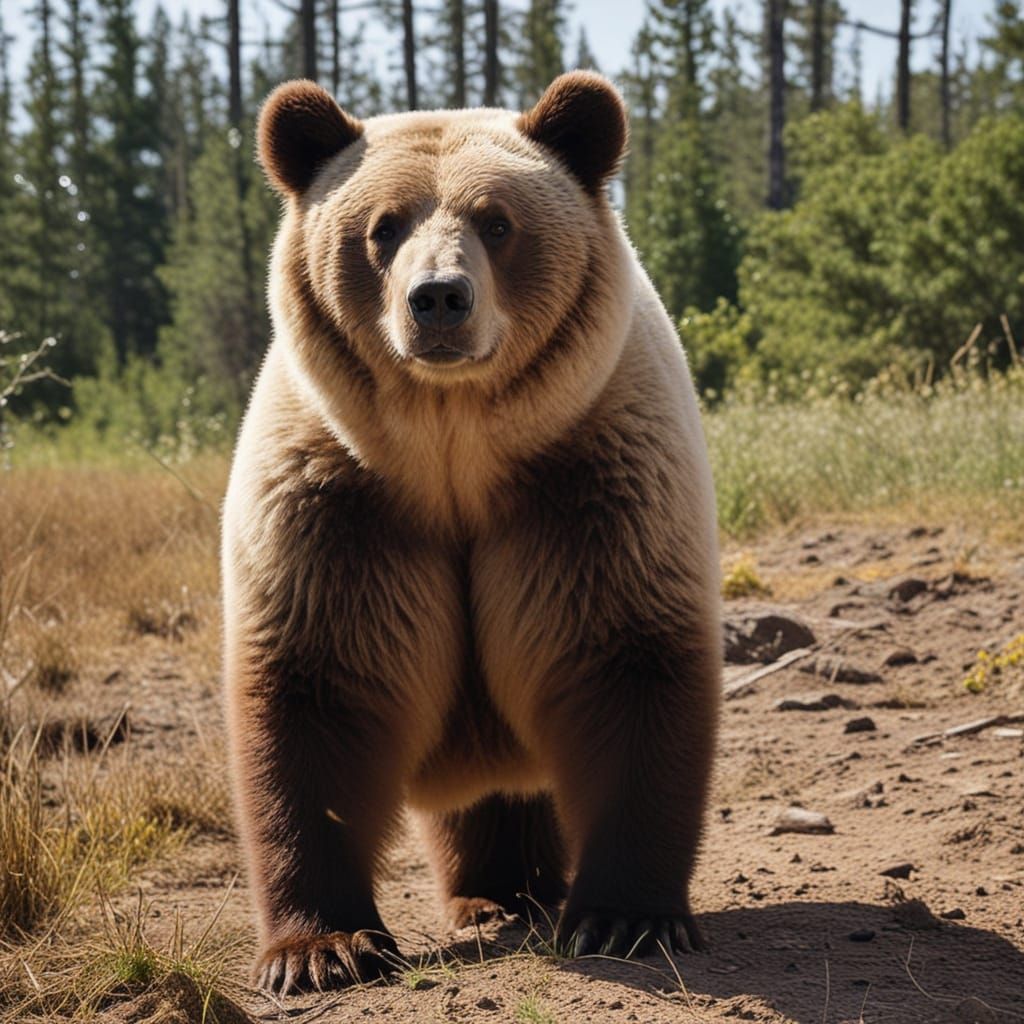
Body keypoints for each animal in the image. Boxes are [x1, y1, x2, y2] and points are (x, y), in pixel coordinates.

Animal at [222, 70, 721, 996]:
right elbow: (317, 692)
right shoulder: (339, 511)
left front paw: (625, 915)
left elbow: (625, 664)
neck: (453, 458)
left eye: (497, 221)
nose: (440, 298)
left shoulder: (591, 490)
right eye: (382, 226)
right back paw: (493, 894)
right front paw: (322, 949)